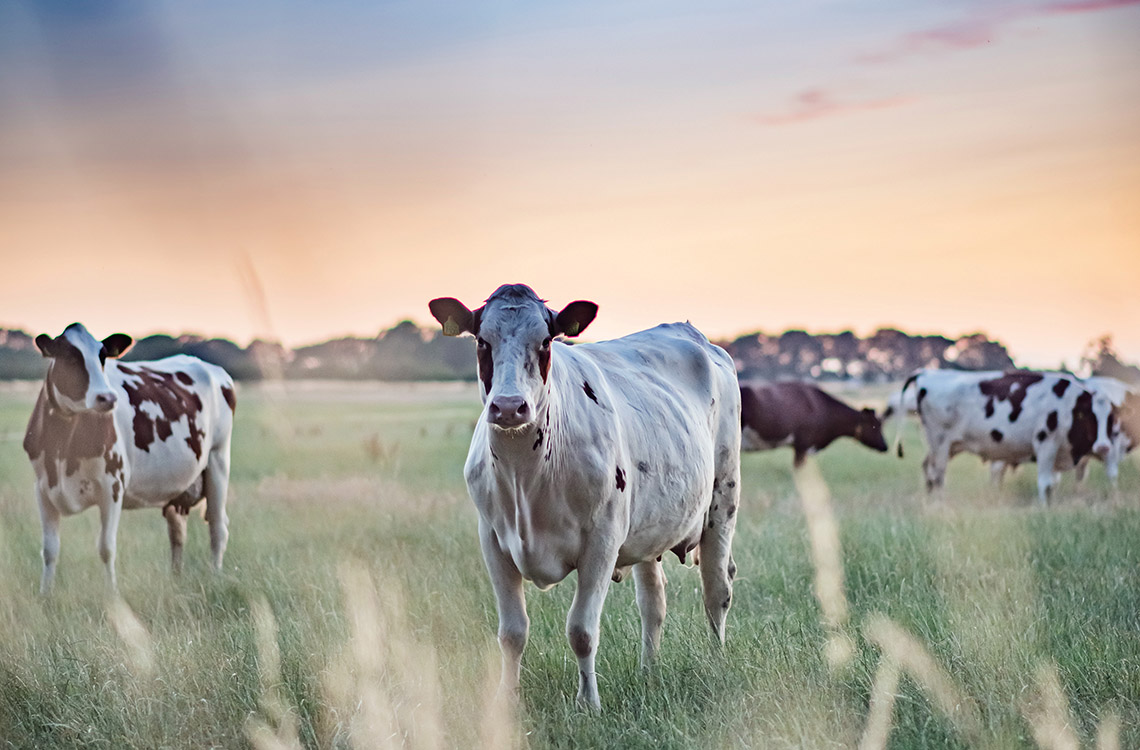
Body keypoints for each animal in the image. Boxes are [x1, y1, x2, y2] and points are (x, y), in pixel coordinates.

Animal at [21, 321, 235, 588]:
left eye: (102, 356)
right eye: (69, 356)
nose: (107, 397)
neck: (62, 446)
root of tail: (209, 366)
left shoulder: (112, 486)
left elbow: (106, 548)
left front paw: (112, 594)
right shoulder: (42, 488)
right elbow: (49, 550)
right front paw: (46, 594)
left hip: (218, 460)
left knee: (218, 528)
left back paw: (216, 577)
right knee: (177, 532)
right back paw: (176, 580)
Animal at [428, 283, 738, 711]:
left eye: (545, 342)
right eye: (482, 342)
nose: (509, 407)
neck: (525, 474)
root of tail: (692, 333)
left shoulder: (602, 541)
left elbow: (581, 630)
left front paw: (588, 703)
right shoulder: (492, 539)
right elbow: (512, 632)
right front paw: (507, 700)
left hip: (723, 499)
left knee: (717, 590)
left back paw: (717, 662)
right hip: (649, 527)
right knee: (653, 603)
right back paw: (649, 670)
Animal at [889, 367, 1112, 501]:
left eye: (1110, 419)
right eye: (1091, 417)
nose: (1103, 446)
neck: (1068, 405)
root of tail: (926, 372)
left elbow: (1053, 484)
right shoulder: (1046, 442)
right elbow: (1045, 484)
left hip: (946, 445)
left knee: (928, 470)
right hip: (939, 443)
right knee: (937, 476)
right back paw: (940, 504)